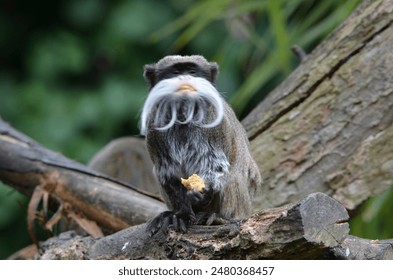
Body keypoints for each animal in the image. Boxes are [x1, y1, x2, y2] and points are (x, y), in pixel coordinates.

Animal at [141, 54, 260, 234]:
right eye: (175, 72)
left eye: (192, 71)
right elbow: (167, 172)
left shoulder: (213, 118)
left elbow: (217, 165)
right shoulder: (154, 123)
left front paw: (203, 194)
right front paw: (181, 214)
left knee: (235, 175)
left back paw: (221, 218)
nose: (185, 78)